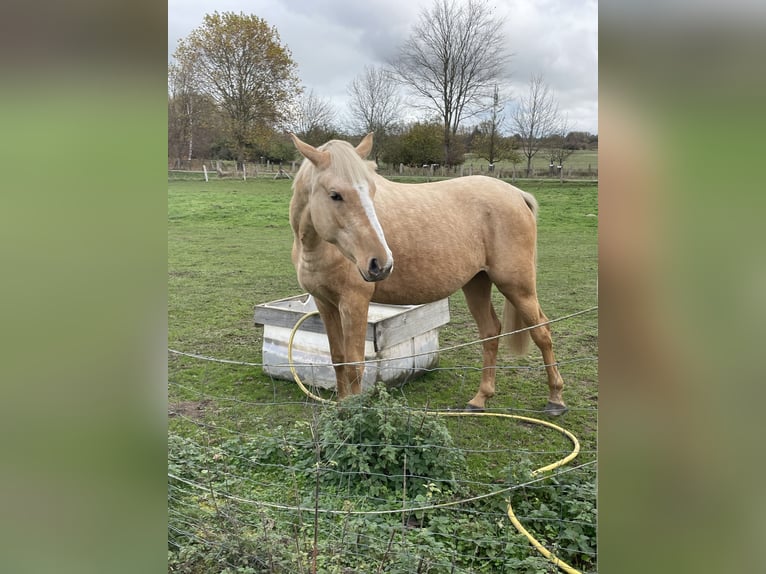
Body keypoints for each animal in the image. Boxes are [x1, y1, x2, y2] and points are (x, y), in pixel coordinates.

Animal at [292, 133, 568, 416]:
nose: (381, 263)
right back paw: (480, 399)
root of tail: (517, 194)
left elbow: (354, 365)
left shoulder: (354, 303)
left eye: (371, 191)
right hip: (476, 283)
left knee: (542, 332)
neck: (318, 248)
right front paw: (340, 411)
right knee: (491, 332)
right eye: (335, 195)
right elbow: (337, 359)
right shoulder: (325, 304)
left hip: (517, 286)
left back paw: (555, 399)